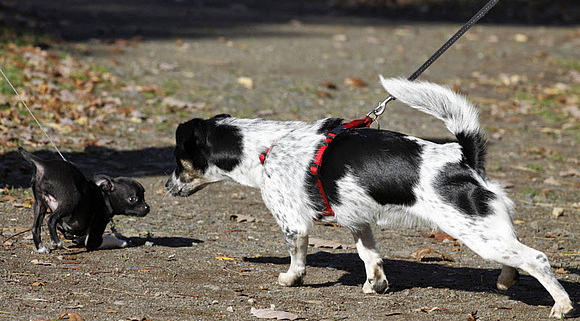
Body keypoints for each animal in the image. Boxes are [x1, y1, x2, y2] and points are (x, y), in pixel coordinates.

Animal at [18, 147, 150, 252]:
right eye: (133, 199)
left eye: (144, 195)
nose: (147, 208)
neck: (102, 197)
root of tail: (43, 164)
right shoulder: (95, 234)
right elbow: (105, 238)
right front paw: (122, 242)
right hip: (71, 199)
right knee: (51, 219)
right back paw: (56, 242)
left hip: (39, 204)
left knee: (36, 227)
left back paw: (41, 248)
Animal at [165, 77, 572, 318]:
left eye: (177, 160)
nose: (165, 188)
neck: (267, 147)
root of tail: (462, 157)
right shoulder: (358, 222)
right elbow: (370, 256)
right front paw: (375, 286)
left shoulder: (293, 225)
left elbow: (298, 259)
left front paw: (291, 279)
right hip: (489, 229)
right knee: (516, 256)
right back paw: (505, 281)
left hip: (475, 232)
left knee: (537, 258)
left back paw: (562, 305)